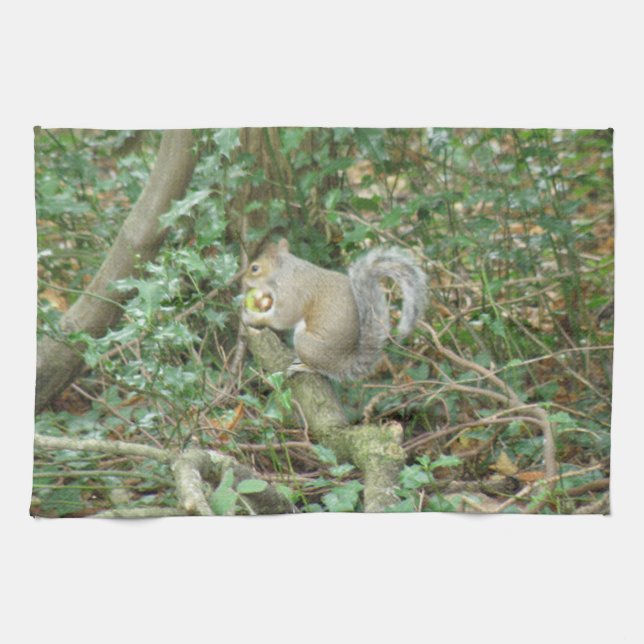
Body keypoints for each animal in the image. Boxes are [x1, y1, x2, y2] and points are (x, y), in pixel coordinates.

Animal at [241, 238, 427, 380]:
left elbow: (283, 318)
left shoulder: (292, 293)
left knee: (320, 369)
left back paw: (303, 366)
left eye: (255, 268)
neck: (284, 271)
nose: (243, 280)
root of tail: (342, 364)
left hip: (305, 344)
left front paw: (251, 316)